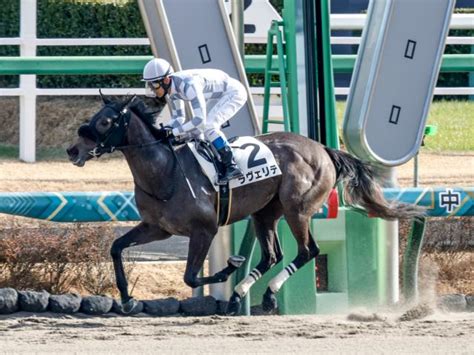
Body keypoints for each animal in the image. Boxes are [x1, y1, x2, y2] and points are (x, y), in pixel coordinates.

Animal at [65, 96, 422, 316]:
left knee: (307, 251)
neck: (165, 171)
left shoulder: (204, 230)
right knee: (272, 255)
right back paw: (242, 295)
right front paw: (126, 299)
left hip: (297, 209)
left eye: (106, 122)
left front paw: (230, 266)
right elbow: (116, 247)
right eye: (93, 118)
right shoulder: (158, 228)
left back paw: (264, 293)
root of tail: (323, 148)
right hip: (265, 213)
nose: (72, 150)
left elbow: (191, 277)